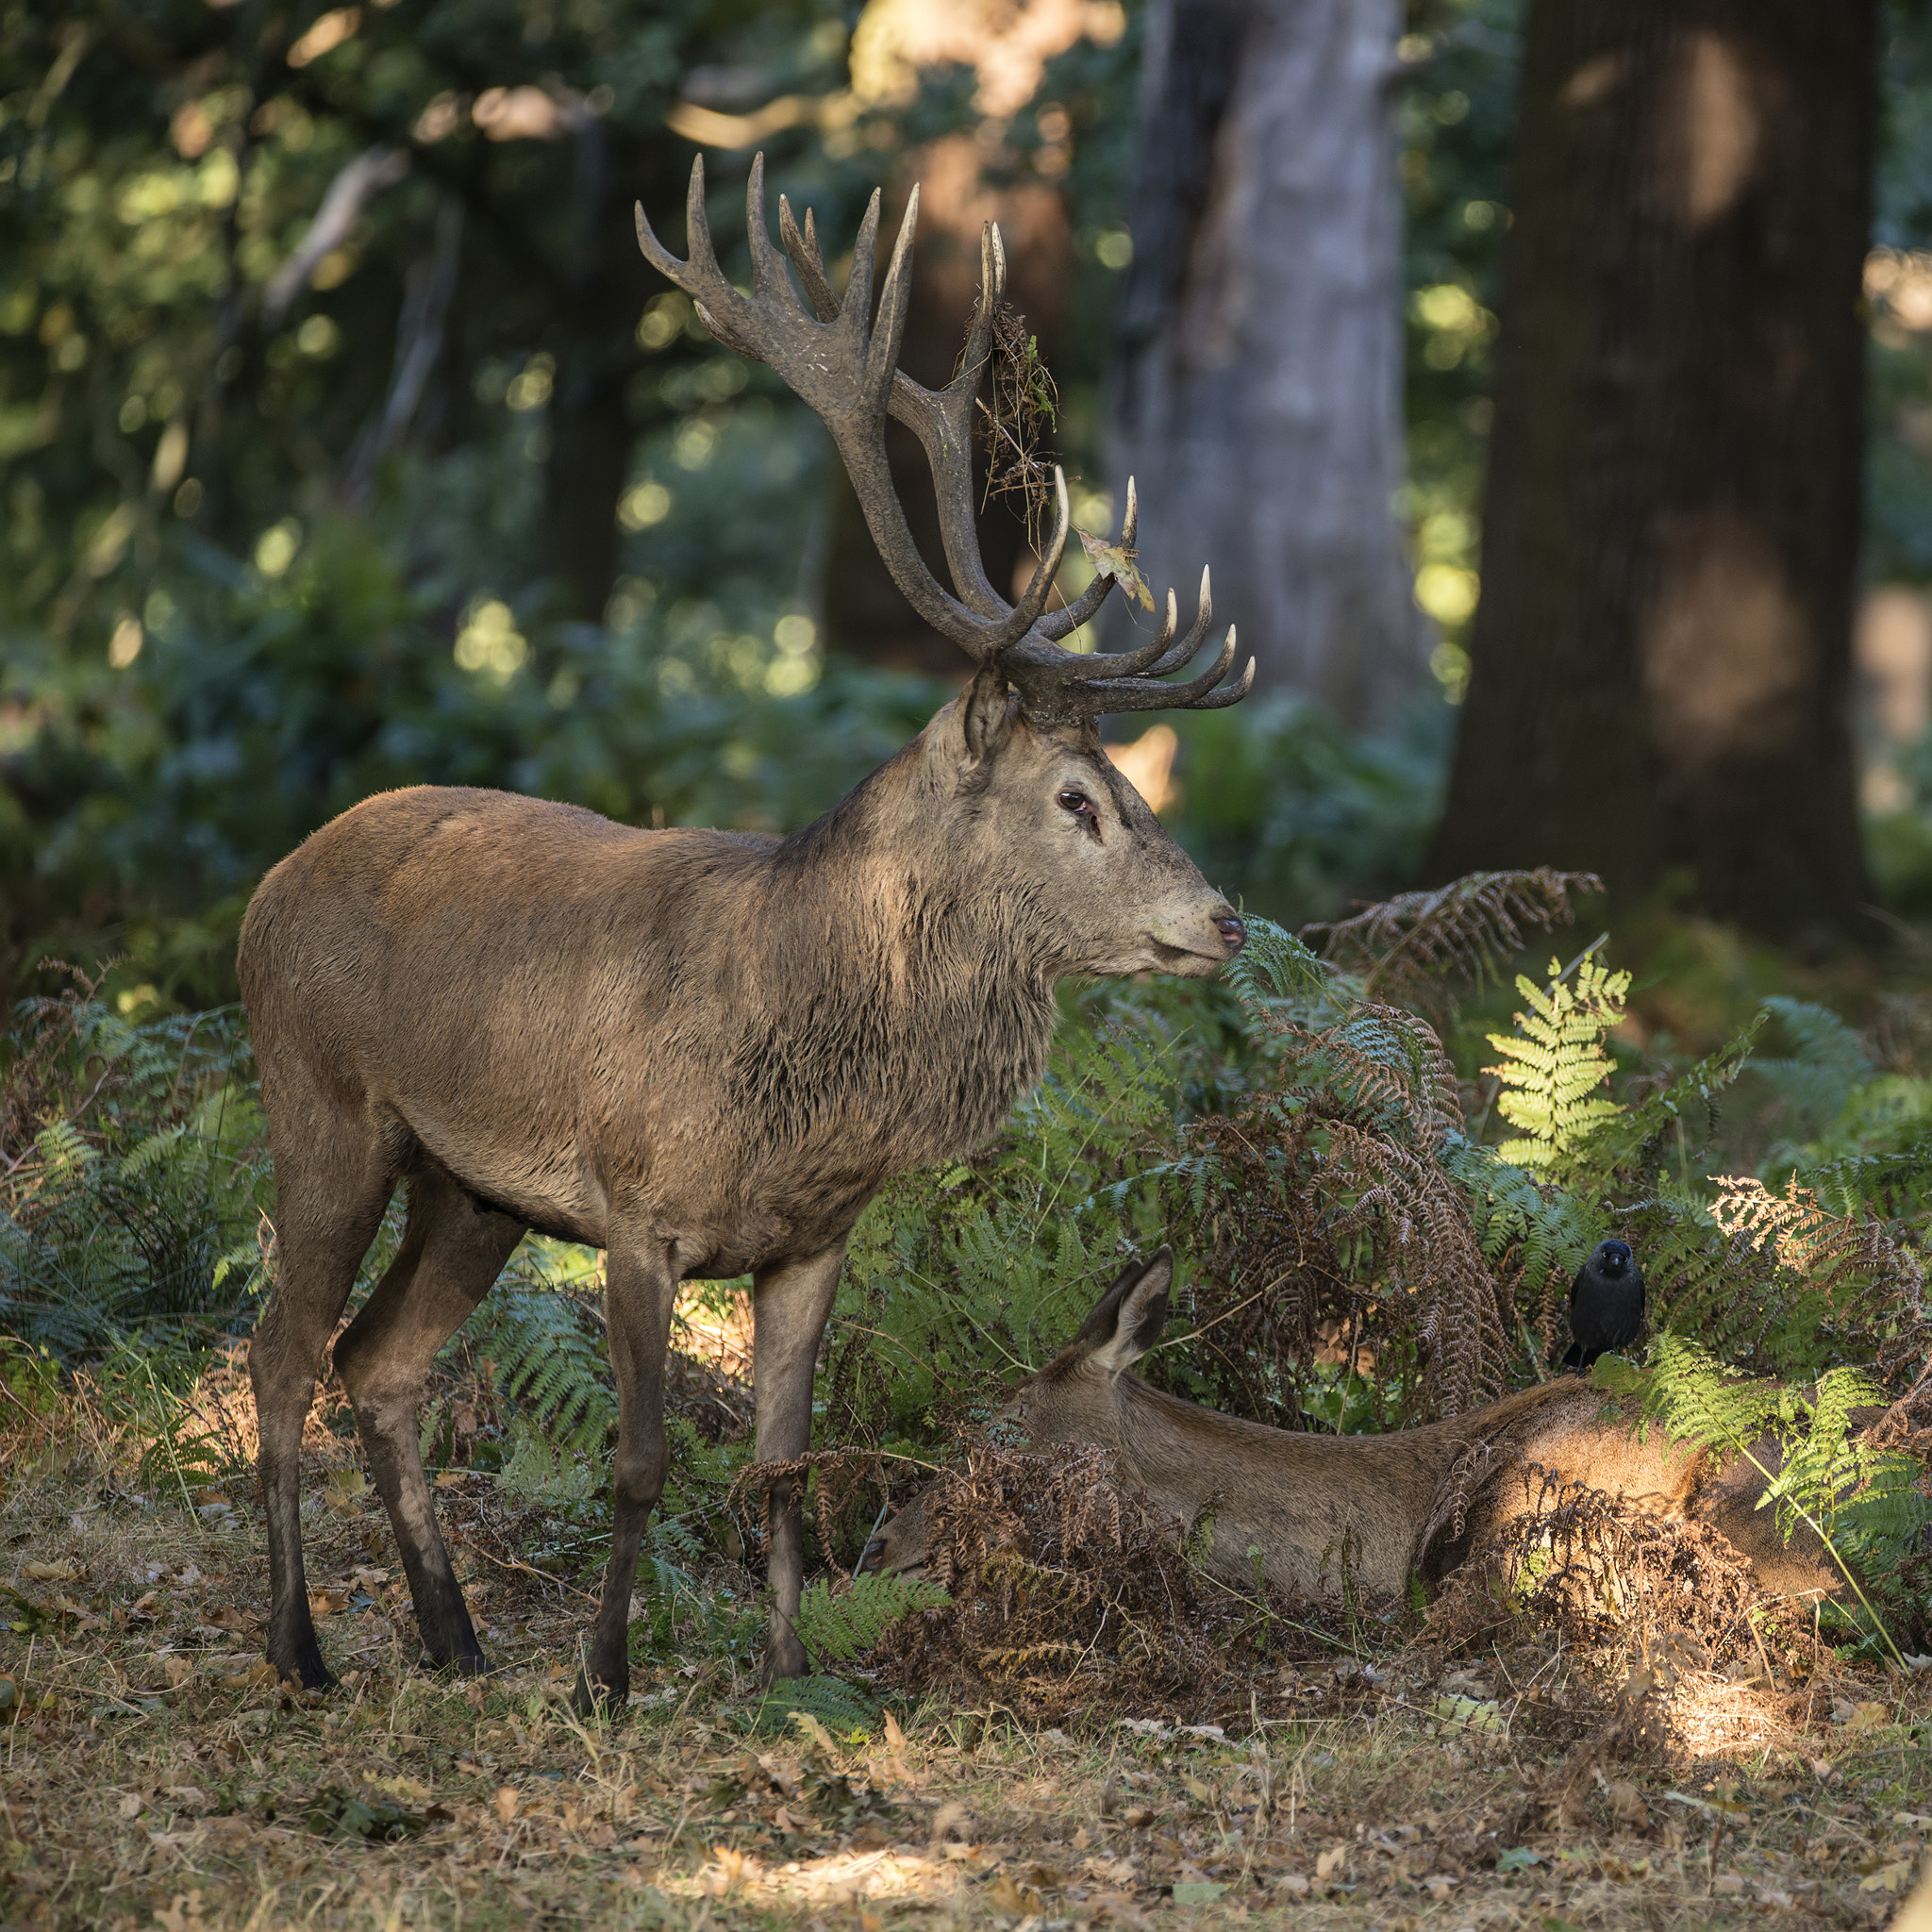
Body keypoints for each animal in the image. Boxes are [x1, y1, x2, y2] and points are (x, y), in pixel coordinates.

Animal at [237, 155, 1255, 1711]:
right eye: (1078, 797)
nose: (1224, 921)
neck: (801, 1071)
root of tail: (267, 887)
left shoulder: (811, 1241)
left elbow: (783, 1465)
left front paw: (787, 1675)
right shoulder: (635, 1208)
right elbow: (642, 1461)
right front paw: (605, 1678)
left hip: (470, 1190)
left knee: (379, 1363)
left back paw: (456, 1639)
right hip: (323, 1109)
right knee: (279, 1355)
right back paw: (301, 1652)